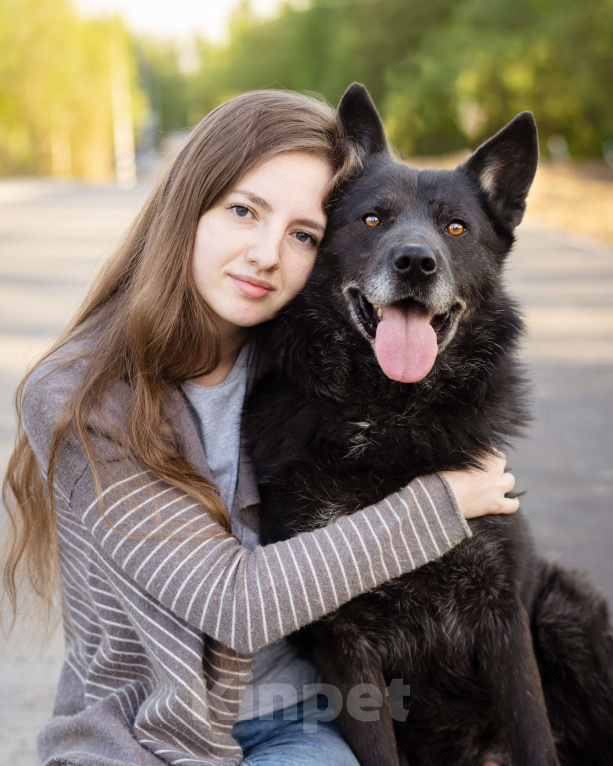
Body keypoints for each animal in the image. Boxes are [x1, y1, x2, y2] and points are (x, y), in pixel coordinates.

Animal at [244, 85, 612, 766]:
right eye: (371, 220)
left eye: (456, 228)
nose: (416, 261)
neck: (393, 420)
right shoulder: (345, 646)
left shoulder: (505, 617)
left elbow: (534, 735)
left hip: (563, 612)